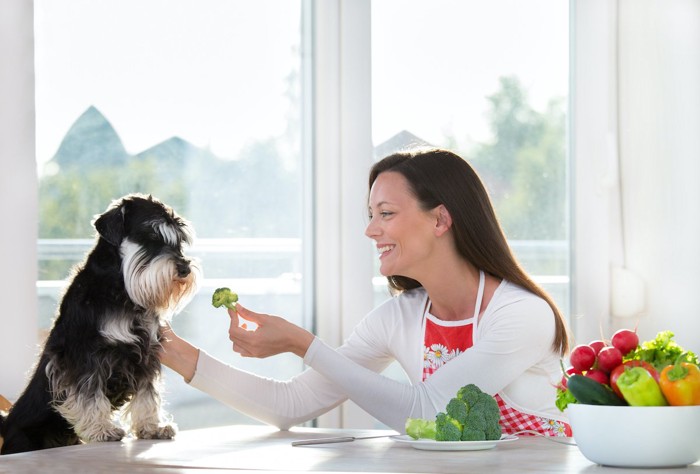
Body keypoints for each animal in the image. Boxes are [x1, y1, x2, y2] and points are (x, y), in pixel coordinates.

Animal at [0, 193, 202, 456]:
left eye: (179, 241)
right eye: (150, 237)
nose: (185, 268)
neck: (120, 289)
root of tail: (6, 423)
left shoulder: (147, 353)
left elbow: (148, 394)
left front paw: (152, 427)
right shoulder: (87, 354)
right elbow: (89, 393)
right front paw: (102, 430)